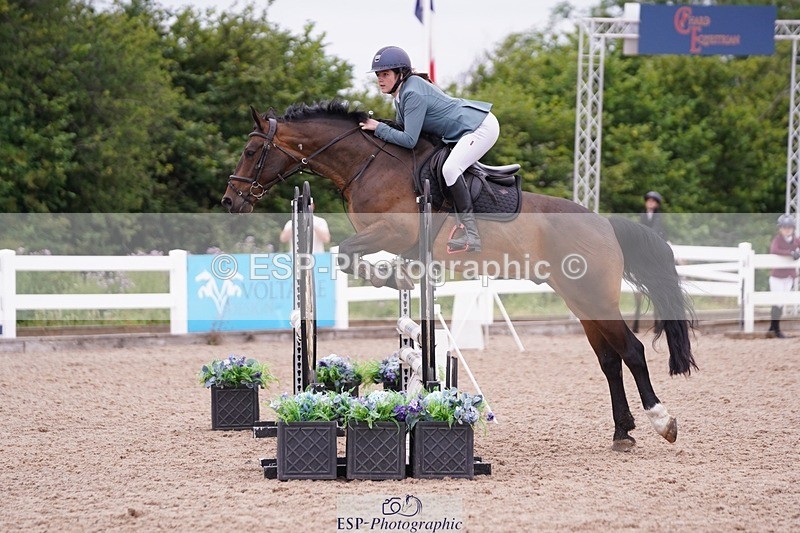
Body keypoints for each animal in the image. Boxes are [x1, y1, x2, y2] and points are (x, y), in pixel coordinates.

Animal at [222, 100, 697, 451]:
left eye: (250, 152)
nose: (230, 201)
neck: (368, 163)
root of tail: (605, 224)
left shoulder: (394, 231)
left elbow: (345, 255)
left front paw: (390, 278)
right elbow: (353, 260)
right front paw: (397, 279)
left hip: (594, 296)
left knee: (632, 350)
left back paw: (662, 422)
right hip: (580, 300)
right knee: (609, 360)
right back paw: (622, 432)